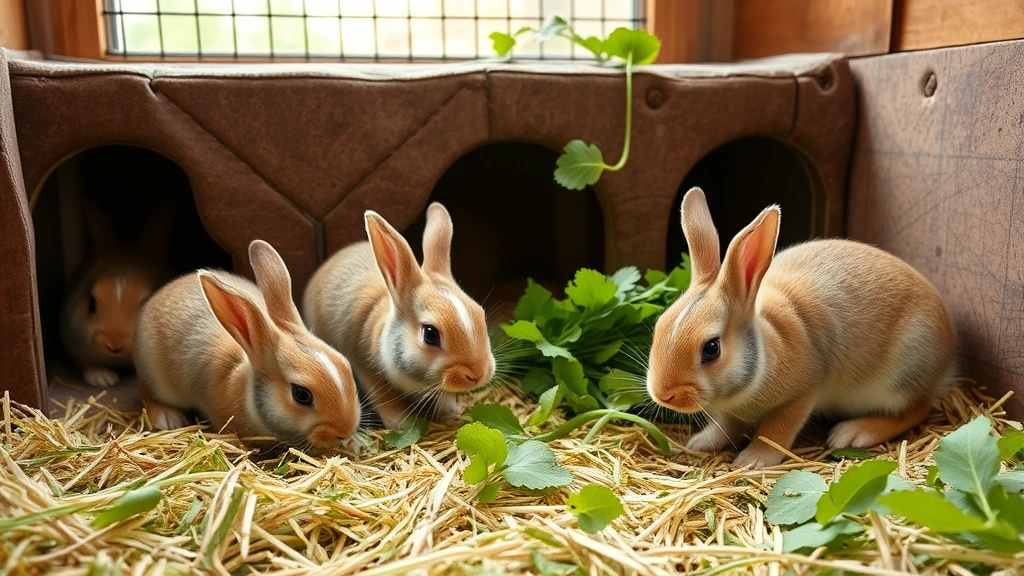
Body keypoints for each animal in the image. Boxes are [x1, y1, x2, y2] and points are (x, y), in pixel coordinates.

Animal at [134, 240, 361, 448]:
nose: (345, 431)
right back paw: (168, 418)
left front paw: (354, 444)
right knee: (145, 389)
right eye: (301, 394)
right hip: (157, 377)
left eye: (346, 364)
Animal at [303, 202, 496, 429]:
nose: (477, 374)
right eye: (430, 334)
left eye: (480, 314)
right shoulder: (365, 367)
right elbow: (385, 398)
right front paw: (402, 423)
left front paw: (450, 411)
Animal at [647, 187, 956, 469]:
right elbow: (725, 425)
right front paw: (701, 442)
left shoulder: (803, 393)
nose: (663, 394)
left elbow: (775, 431)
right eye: (659, 325)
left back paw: (853, 433)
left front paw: (753, 460)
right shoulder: (731, 413)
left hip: (900, 377)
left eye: (711, 348)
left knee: (916, 409)